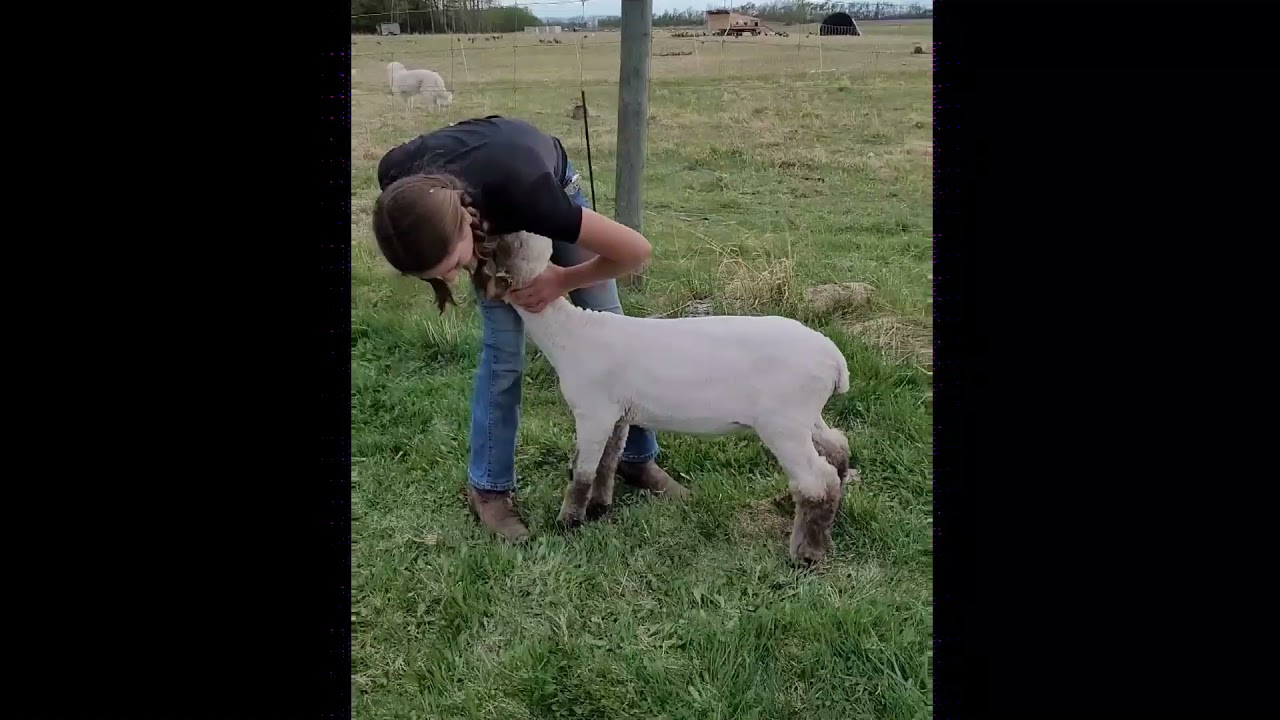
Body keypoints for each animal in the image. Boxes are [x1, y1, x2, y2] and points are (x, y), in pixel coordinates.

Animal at [482, 232, 855, 564]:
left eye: (501, 240)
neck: (568, 333)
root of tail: (834, 359)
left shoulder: (592, 412)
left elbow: (583, 472)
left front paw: (568, 523)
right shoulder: (617, 415)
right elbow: (607, 463)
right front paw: (600, 508)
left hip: (782, 423)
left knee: (816, 481)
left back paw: (807, 553)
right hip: (805, 415)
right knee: (837, 447)